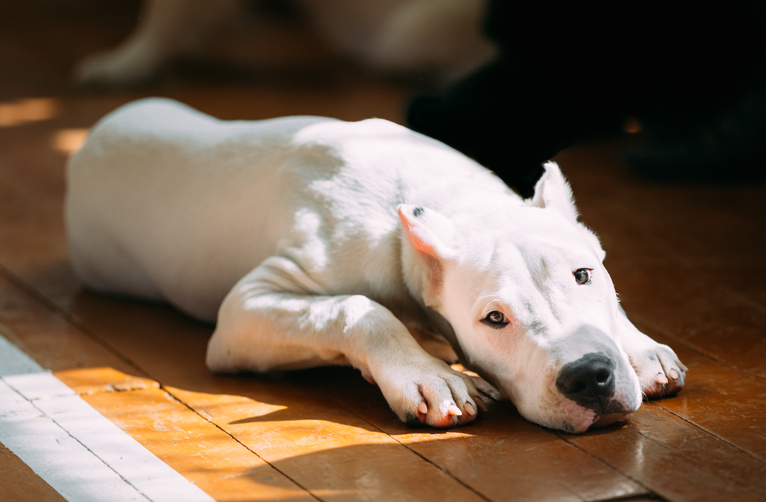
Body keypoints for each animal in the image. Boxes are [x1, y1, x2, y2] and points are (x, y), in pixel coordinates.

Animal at [67, 98, 688, 432]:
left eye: (585, 275)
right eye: (494, 319)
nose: (589, 377)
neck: (446, 205)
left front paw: (641, 348)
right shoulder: (245, 308)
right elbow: (358, 308)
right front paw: (429, 376)